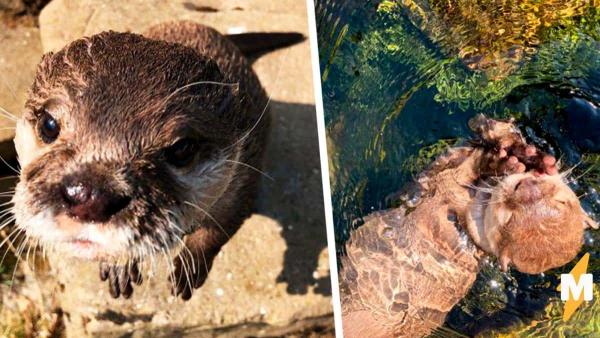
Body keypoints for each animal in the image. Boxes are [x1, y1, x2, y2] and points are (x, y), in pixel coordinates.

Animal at [12, 21, 304, 300]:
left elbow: (219, 229)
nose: (89, 196)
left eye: (182, 149)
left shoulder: (243, 177)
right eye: (49, 124)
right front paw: (120, 264)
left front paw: (190, 266)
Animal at [338, 115, 596, 336]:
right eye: (559, 200)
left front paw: (498, 159)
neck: (464, 225)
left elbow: (453, 174)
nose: (528, 188)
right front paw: (521, 151)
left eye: (507, 218)